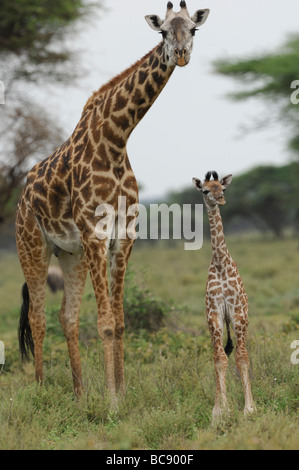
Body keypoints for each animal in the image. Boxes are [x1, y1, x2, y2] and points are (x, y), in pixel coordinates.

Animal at [16, 1, 211, 398]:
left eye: (194, 30)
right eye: (163, 32)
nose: (181, 55)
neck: (117, 138)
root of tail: (21, 196)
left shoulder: (124, 235)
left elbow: (120, 321)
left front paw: (120, 390)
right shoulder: (95, 232)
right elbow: (105, 321)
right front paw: (111, 400)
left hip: (69, 254)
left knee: (66, 316)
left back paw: (79, 393)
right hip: (32, 246)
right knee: (37, 316)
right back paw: (42, 389)